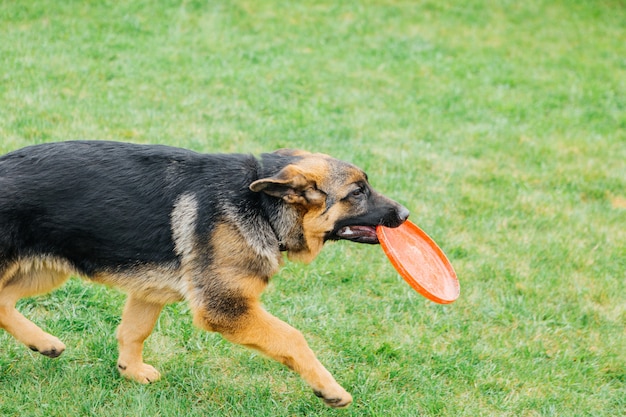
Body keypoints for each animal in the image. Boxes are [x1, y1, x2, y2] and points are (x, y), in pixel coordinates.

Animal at [0, 141, 408, 406]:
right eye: (357, 192)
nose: (405, 215)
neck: (261, 204)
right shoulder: (226, 307)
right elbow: (292, 338)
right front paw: (330, 389)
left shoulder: (149, 292)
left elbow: (134, 331)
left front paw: (131, 371)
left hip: (45, 271)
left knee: (4, 303)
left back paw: (43, 342)